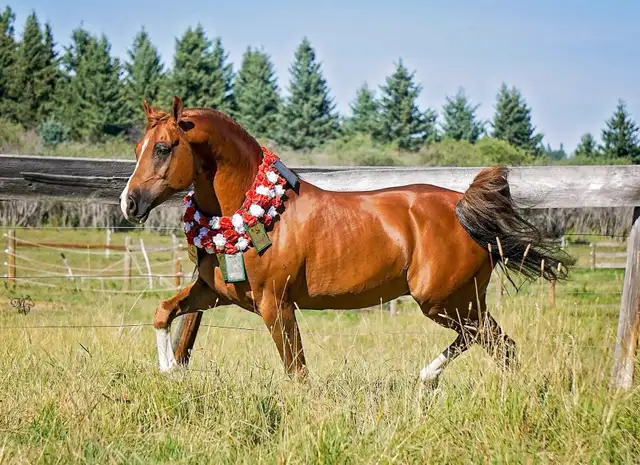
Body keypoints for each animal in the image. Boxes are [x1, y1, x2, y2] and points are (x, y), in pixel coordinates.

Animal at [120, 96, 569, 383]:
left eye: (163, 148)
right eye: (139, 146)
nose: (129, 202)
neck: (250, 214)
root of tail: (462, 208)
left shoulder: (275, 304)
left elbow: (297, 372)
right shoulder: (214, 292)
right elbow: (163, 312)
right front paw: (168, 369)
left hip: (445, 300)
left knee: (490, 341)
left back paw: (437, 379)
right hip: (461, 301)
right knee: (497, 344)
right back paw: (437, 380)